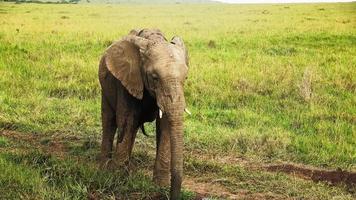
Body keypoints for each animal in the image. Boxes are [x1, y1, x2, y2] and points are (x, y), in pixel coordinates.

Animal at [98, 28, 189, 200]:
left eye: (185, 78)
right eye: (154, 78)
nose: (172, 196)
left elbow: (165, 126)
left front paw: (160, 186)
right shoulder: (127, 79)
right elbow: (127, 120)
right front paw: (117, 179)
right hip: (105, 88)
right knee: (109, 121)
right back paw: (105, 167)